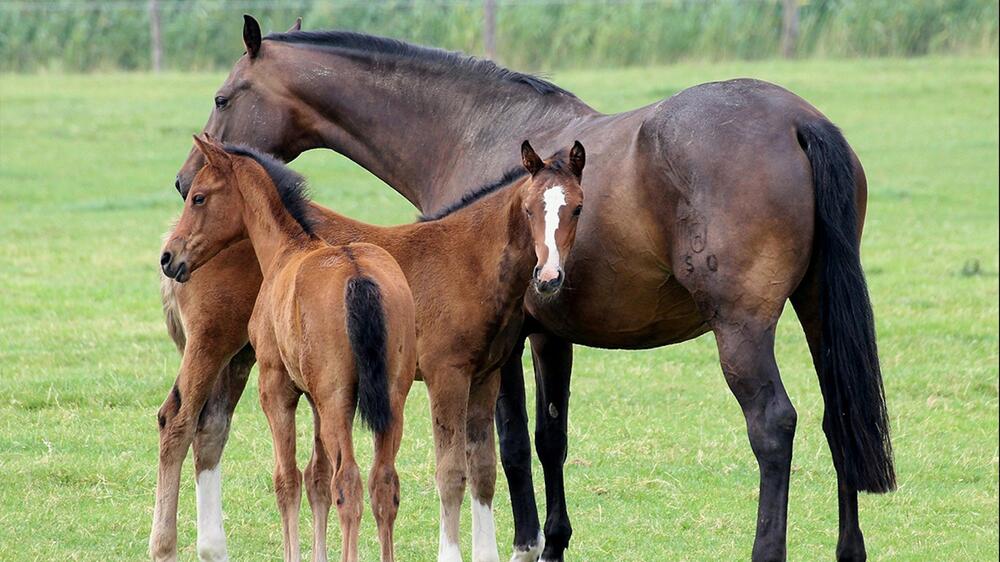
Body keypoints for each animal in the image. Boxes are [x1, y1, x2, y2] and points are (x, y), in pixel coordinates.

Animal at [160, 15, 896, 556]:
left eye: (223, 97)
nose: (183, 178)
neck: (472, 129)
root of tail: (799, 122)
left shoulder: (503, 347)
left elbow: (508, 447)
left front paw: (522, 541)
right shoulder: (548, 335)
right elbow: (550, 439)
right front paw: (554, 541)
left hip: (742, 328)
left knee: (773, 425)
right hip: (816, 310)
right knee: (837, 418)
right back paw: (849, 549)